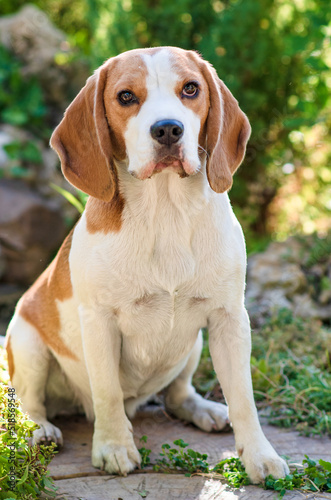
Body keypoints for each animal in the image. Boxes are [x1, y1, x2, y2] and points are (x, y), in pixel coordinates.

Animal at [6, 47, 290, 484]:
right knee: (30, 403)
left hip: (194, 344)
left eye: (190, 89)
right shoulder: (99, 323)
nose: (169, 130)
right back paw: (40, 430)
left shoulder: (229, 319)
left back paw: (203, 409)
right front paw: (113, 447)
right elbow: (107, 392)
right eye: (125, 96)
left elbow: (243, 397)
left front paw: (259, 456)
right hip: (26, 342)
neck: (165, 209)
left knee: (176, 394)